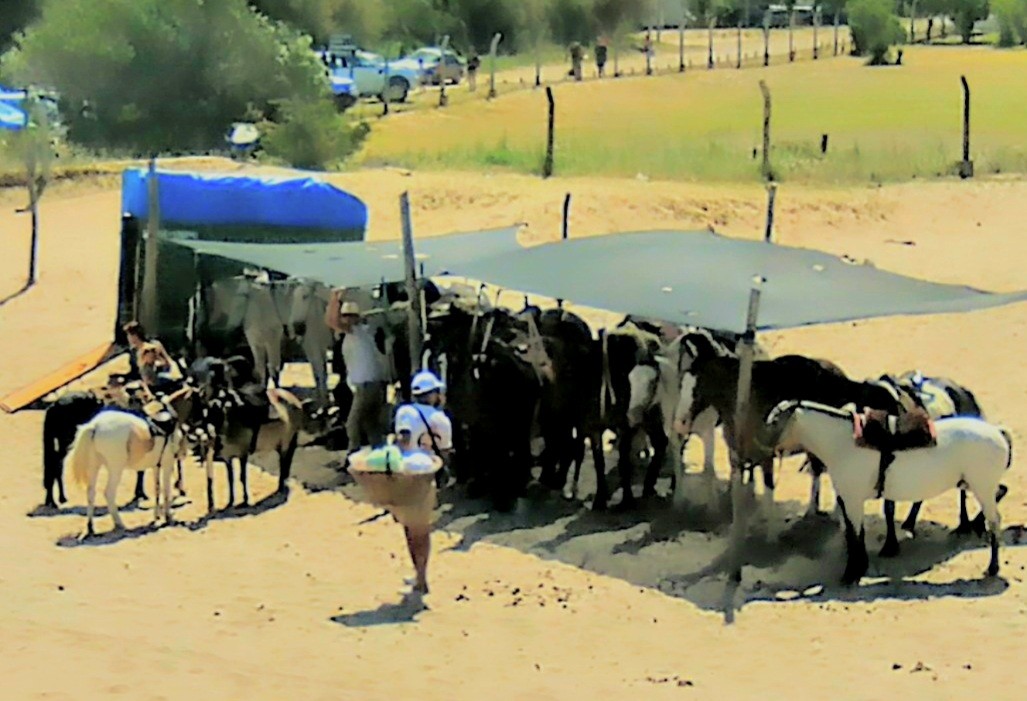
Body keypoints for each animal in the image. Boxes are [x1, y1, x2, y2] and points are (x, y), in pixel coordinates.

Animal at [764, 398, 1010, 582]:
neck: (843, 443)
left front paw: (852, 573)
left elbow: (856, 534)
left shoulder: (853, 500)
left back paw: (992, 566)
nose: (767, 449)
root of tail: (998, 433)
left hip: (982, 487)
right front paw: (858, 568)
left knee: (994, 522)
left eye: (774, 421)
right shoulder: (847, 499)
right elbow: (854, 533)